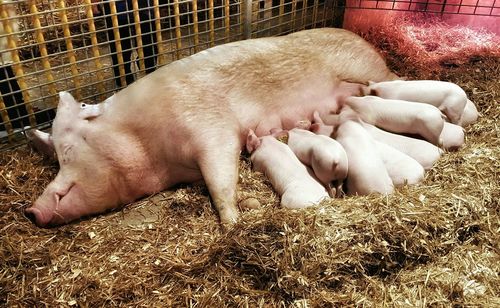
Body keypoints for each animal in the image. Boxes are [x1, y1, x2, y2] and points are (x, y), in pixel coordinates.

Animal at [25, 28, 398, 226]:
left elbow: (220, 183)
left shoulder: (212, 129)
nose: (31, 211)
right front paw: (249, 206)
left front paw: (233, 222)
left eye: (67, 150)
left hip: (372, 70)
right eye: (55, 158)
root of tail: (367, 43)